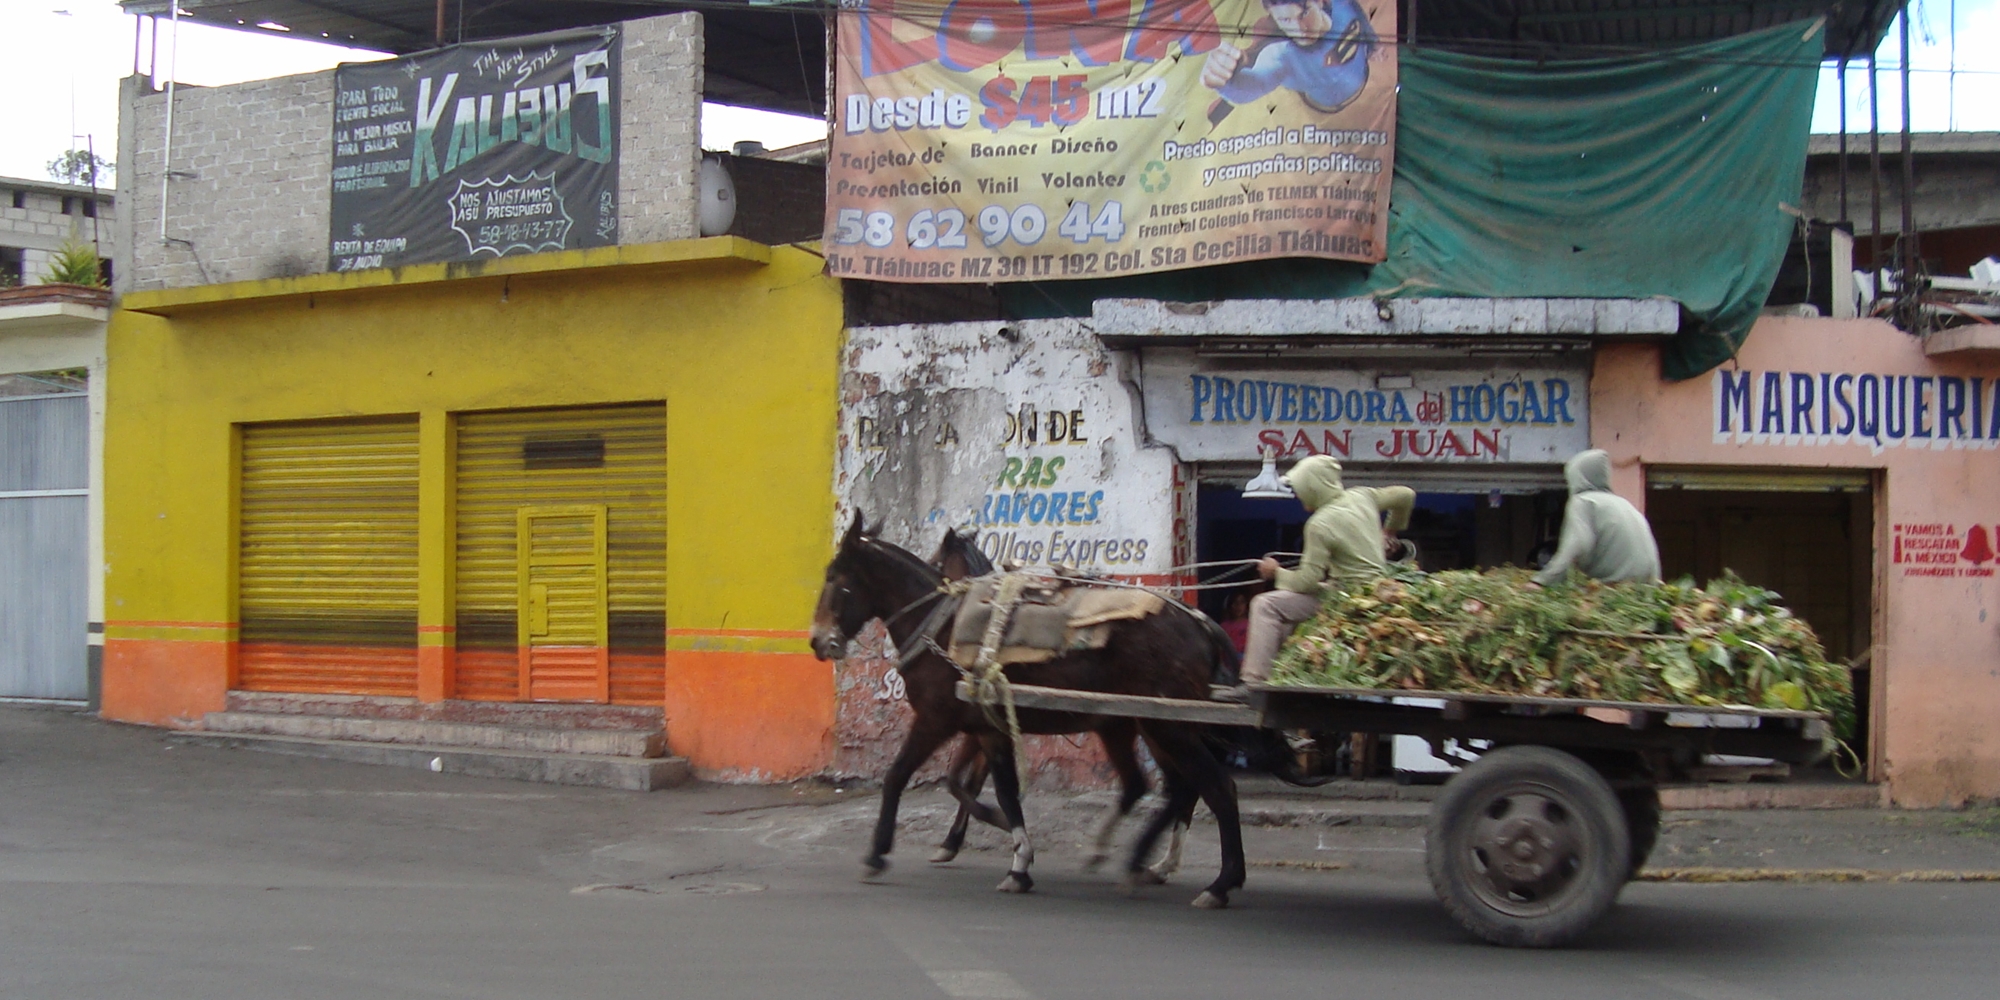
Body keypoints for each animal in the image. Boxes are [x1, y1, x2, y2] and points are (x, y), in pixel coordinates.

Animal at [804, 516, 1240, 908]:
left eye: (835, 577)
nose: (818, 642)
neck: (943, 628)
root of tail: (1198, 623)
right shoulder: (988, 730)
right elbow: (1001, 792)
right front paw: (1017, 864)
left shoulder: (934, 721)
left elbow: (897, 776)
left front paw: (877, 854)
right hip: (1141, 726)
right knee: (1162, 786)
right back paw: (1142, 862)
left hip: (1166, 726)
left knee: (1214, 786)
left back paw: (1217, 883)